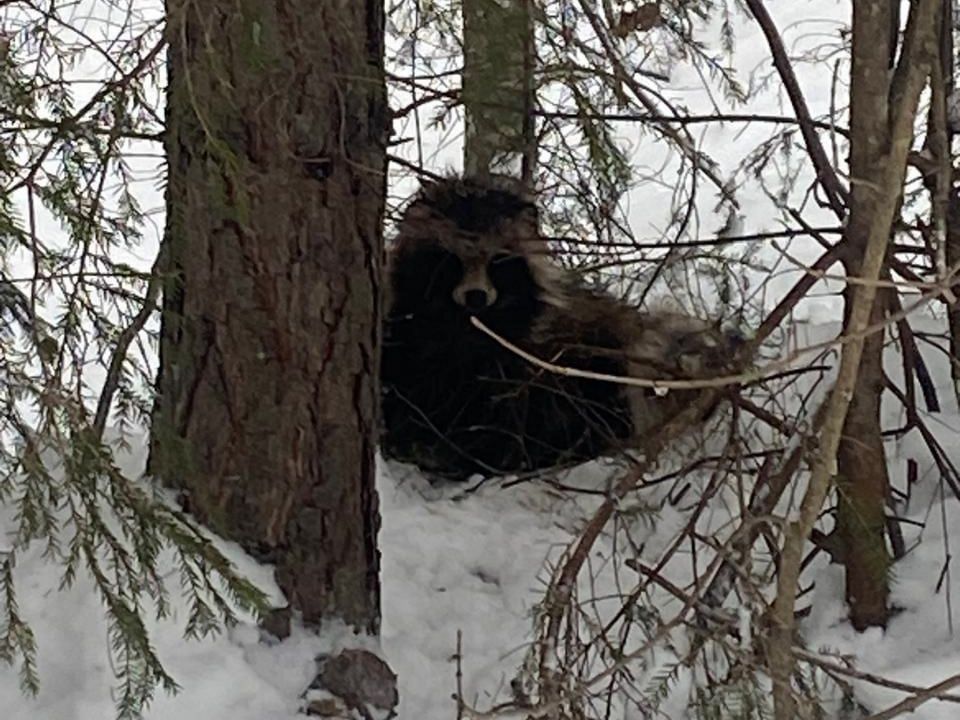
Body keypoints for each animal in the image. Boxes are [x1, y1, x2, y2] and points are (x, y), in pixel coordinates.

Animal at [382, 176, 736, 478]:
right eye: (451, 260)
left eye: (497, 261)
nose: (476, 296)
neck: (464, 326)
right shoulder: (410, 335)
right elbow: (410, 379)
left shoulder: (519, 353)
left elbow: (499, 405)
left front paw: (462, 451)